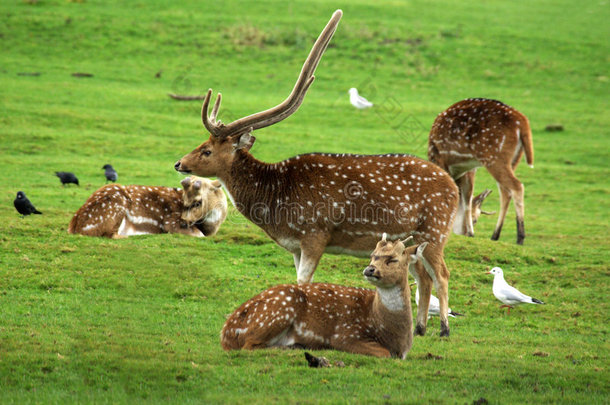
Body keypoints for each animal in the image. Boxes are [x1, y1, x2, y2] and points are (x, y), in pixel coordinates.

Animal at [69, 176, 226, 238]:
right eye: (185, 200)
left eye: (198, 202)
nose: (184, 222)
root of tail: (75, 228)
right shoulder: (170, 221)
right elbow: (200, 236)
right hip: (114, 206)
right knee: (110, 234)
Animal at [173, 10, 458, 338]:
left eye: (207, 150)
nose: (179, 163)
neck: (276, 204)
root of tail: (454, 186)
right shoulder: (296, 245)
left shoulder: (315, 232)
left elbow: (303, 281)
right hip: (413, 239)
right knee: (423, 276)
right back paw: (419, 328)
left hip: (436, 230)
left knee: (442, 274)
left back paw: (444, 329)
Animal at [221, 235, 426, 358]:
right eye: (372, 255)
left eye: (393, 259)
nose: (369, 269)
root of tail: (226, 333)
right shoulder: (345, 333)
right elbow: (384, 353)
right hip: (279, 310)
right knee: (249, 345)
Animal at [428, 98, 532, 245]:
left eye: (476, 220)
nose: (462, 233)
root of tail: (523, 123)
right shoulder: (470, 170)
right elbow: (467, 199)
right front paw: (471, 234)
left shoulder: (441, 160)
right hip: (513, 160)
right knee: (505, 192)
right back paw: (495, 235)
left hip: (496, 157)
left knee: (516, 186)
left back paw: (520, 238)